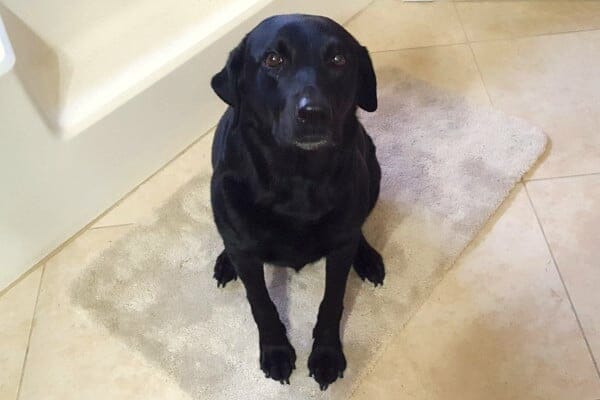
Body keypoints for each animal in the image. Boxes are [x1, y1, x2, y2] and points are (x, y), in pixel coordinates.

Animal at [209, 14, 384, 390]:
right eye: (273, 59)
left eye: (338, 60)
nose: (314, 113)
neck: (297, 177)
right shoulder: (247, 255)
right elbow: (261, 303)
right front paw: (276, 351)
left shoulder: (339, 249)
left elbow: (333, 300)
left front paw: (327, 354)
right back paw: (225, 260)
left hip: (372, 167)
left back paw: (367, 257)